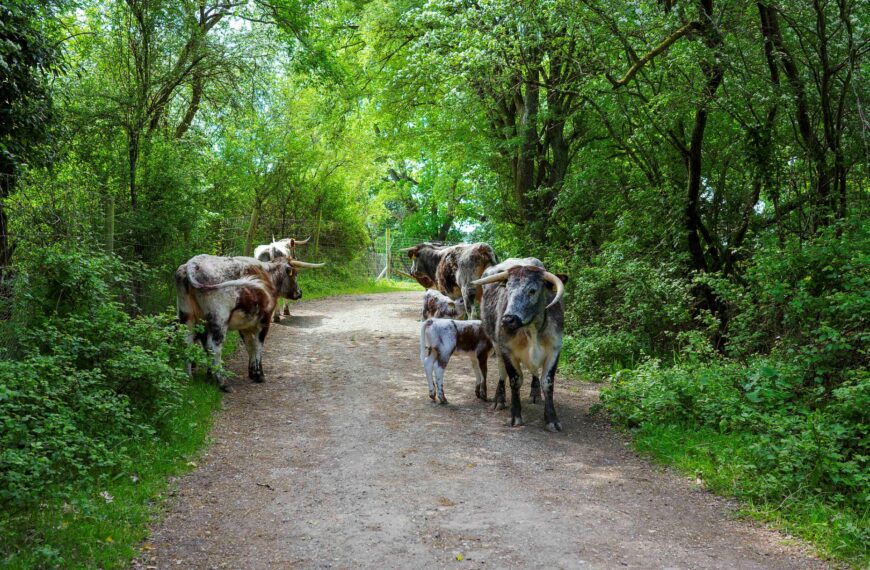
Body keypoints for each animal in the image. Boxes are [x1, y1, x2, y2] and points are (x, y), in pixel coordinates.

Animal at [175, 254, 323, 392]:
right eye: (295, 274)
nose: (299, 292)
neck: (269, 276)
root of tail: (193, 263)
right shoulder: (264, 321)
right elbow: (258, 345)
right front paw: (259, 374)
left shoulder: (245, 324)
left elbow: (249, 346)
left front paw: (252, 372)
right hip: (219, 319)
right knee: (215, 347)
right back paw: (222, 382)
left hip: (188, 317)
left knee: (188, 343)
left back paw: (190, 379)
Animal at [471, 258, 566, 431]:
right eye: (508, 289)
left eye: (532, 290)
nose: (508, 319)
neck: (532, 329)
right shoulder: (507, 350)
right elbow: (515, 380)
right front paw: (515, 415)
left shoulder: (555, 349)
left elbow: (547, 382)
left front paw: (551, 419)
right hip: (496, 346)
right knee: (502, 372)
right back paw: (499, 399)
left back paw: (535, 394)